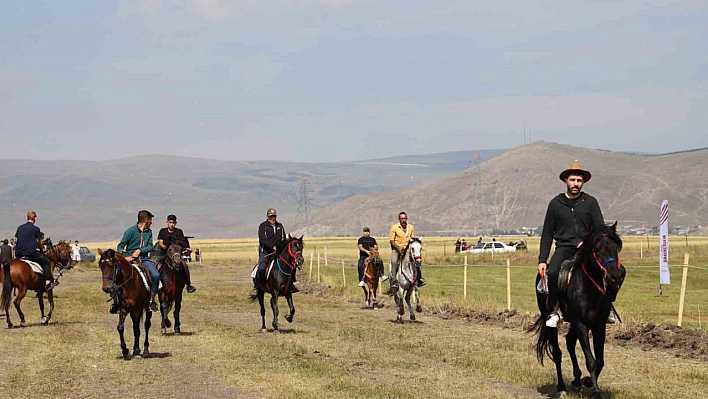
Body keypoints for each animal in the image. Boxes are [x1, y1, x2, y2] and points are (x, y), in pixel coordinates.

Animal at [532, 223, 624, 398]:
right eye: (596, 249)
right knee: (557, 353)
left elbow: (600, 361)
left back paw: (576, 379)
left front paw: (586, 381)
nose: (615, 276)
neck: (589, 290)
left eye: (616, 247)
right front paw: (595, 390)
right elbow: (591, 360)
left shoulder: (598, 325)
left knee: (569, 341)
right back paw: (561, 387)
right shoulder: (581, 324)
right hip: (554, 322)